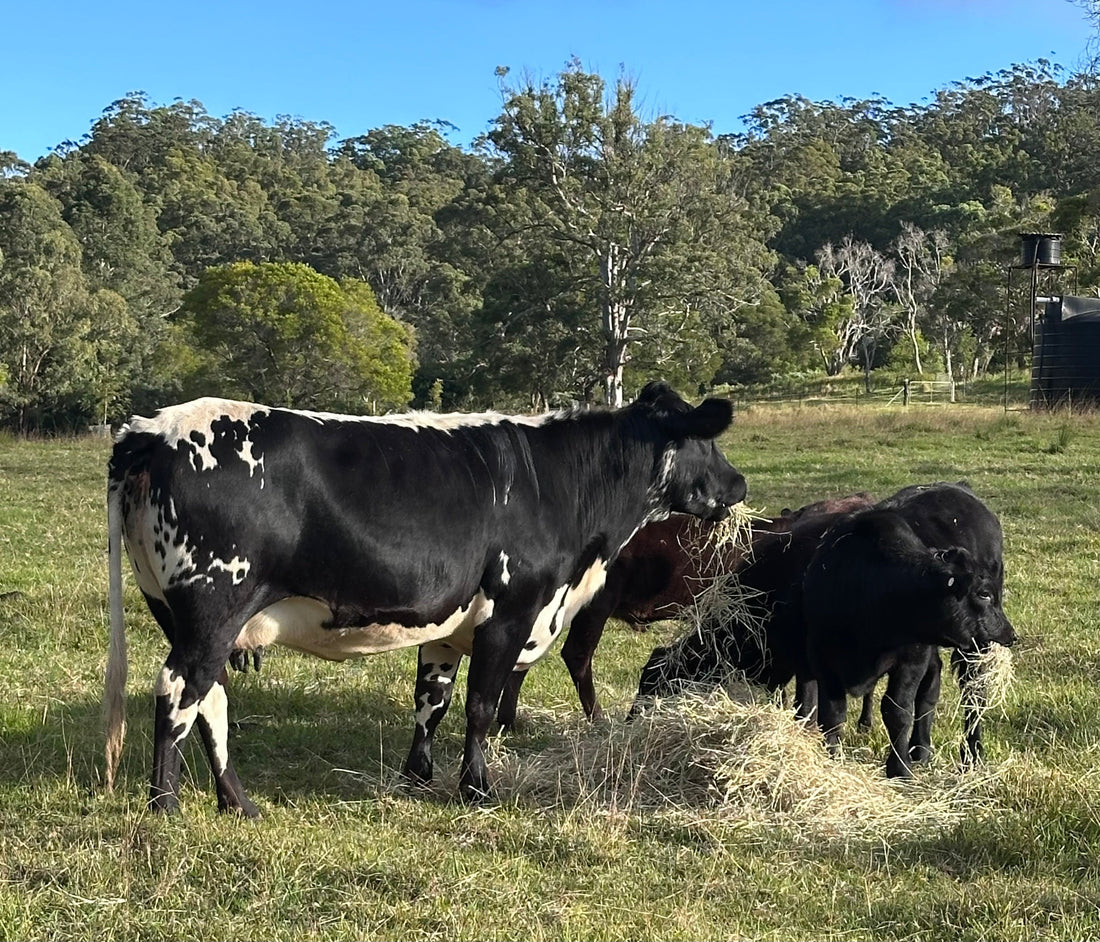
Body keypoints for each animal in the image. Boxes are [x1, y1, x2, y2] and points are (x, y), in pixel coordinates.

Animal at [103, 381, 748, 814]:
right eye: (707, 442)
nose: (740, 483)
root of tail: (150, 431)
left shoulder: (448, 625)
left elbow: (430, 702)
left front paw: (417, 776)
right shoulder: (512, 612)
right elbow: (481, 706)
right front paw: (476, 788)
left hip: (177, 611)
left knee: (209, 700)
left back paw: (237, 802)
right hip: (212, 608)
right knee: (177, 693)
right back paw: (164, 805)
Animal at [803, 482, 1017, 778]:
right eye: (983, 594)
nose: (1010, 632)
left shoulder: (910, 658)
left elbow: (897, 710)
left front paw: (899, 769)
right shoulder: (823, 658)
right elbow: (832, 715)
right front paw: (833, 760)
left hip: (976, 647)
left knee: (973, 693)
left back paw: (972, 754)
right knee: (931, 687)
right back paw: (921, 748)